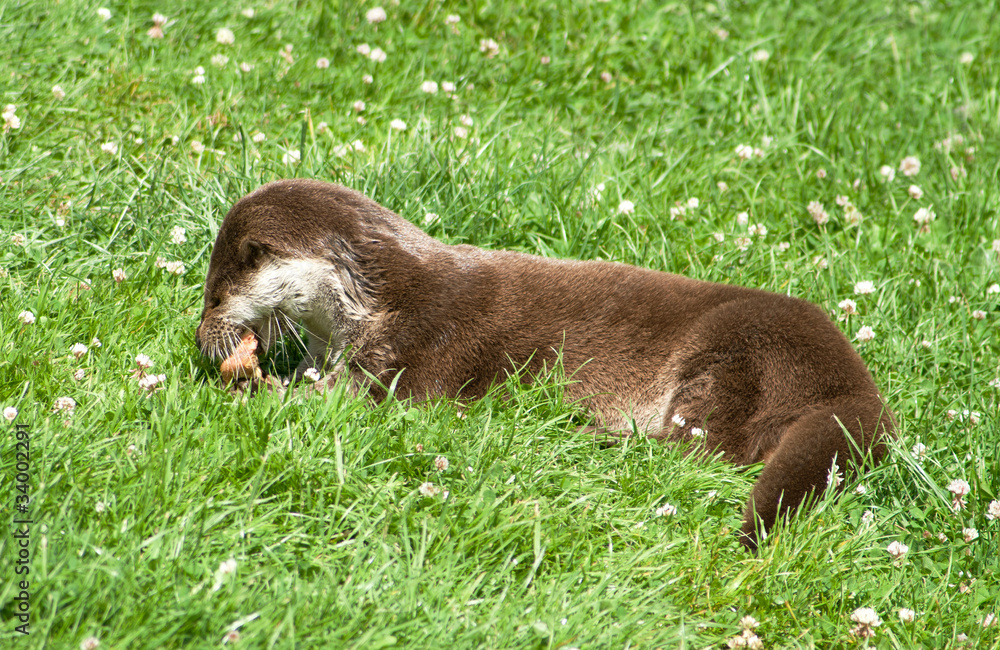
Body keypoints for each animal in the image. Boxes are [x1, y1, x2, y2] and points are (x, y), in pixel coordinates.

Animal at [195, 179, 895, 551]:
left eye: (214, 295)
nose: (201, 339)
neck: (382, 299)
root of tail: (852, 384)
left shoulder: (410, 349)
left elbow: (349, 398)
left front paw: (252, 390)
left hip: (735, 353)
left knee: (710, 448)